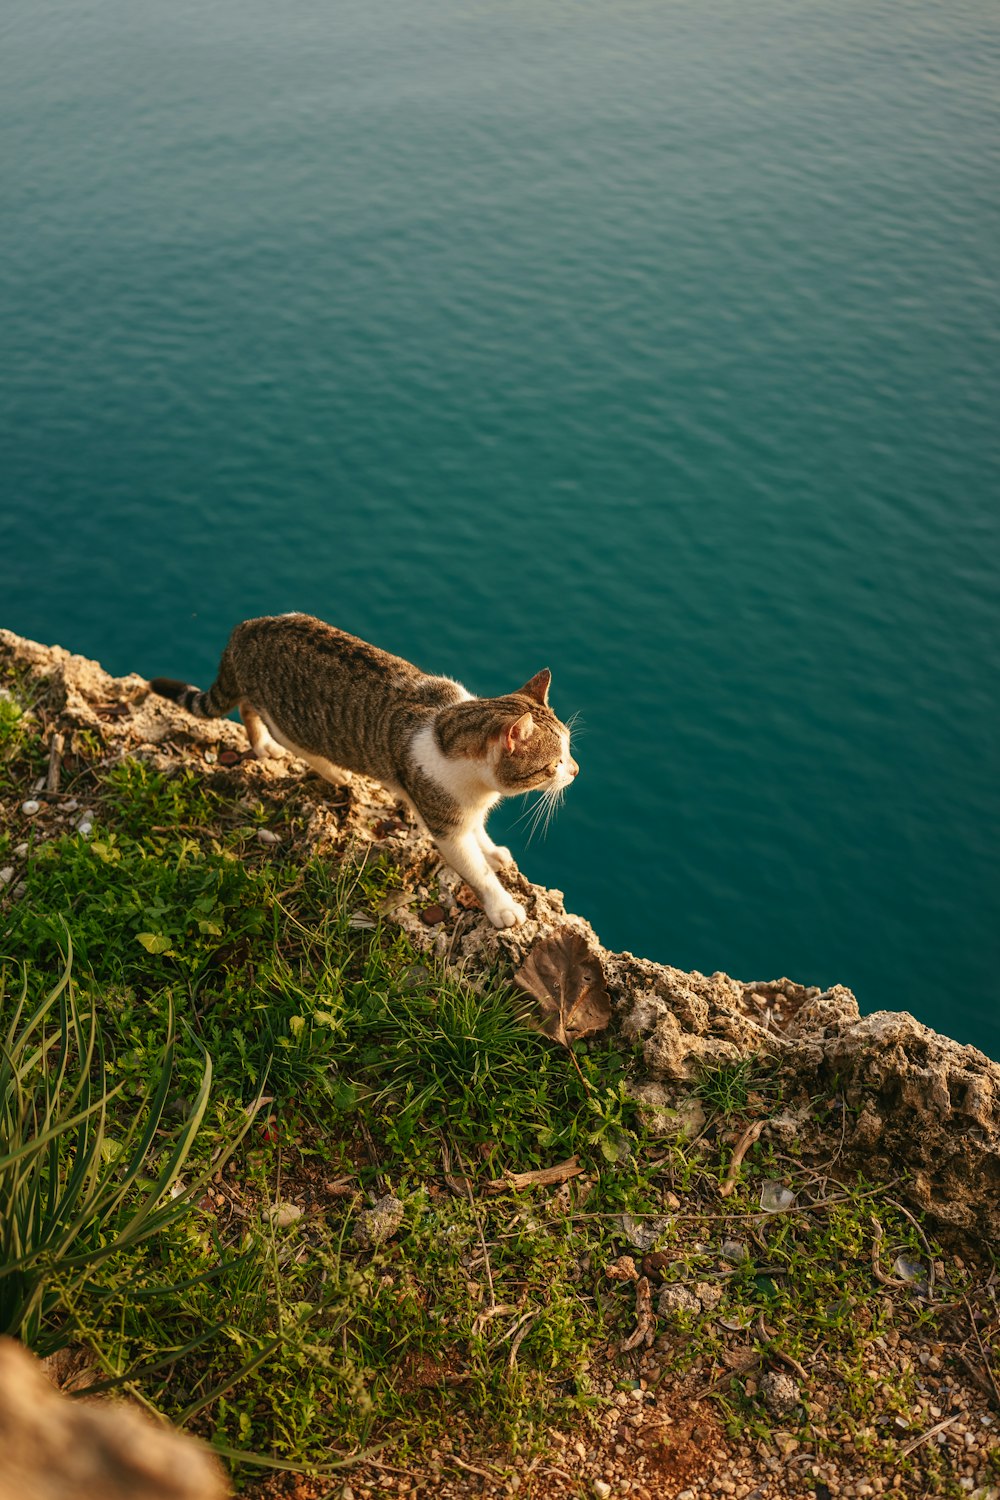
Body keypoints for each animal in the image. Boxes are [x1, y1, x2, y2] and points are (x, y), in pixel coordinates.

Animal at [152, 612, 581, 924]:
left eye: (569, 749)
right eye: (554, 763)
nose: (576, 771)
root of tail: (244, 631)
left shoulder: (463, 809)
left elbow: (479, 832)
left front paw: (491, 851)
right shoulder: (442, 821)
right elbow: (474, 869)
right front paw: (502, 906)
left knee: (245, 706)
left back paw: (260, 744)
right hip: (293, 725)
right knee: (278, 729)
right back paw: (327, 769)